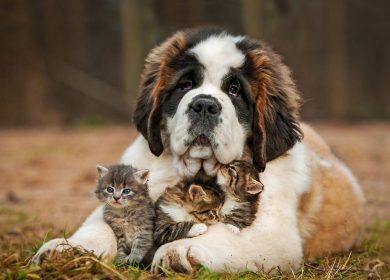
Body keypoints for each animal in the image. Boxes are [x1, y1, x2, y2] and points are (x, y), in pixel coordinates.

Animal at [33, 27, 366, 272]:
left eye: (234, 90)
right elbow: (99, 225)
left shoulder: (271, 231)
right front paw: (68, 250)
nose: (204, 104)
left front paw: (180, 251)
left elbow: (219, 231)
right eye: (186, 85)